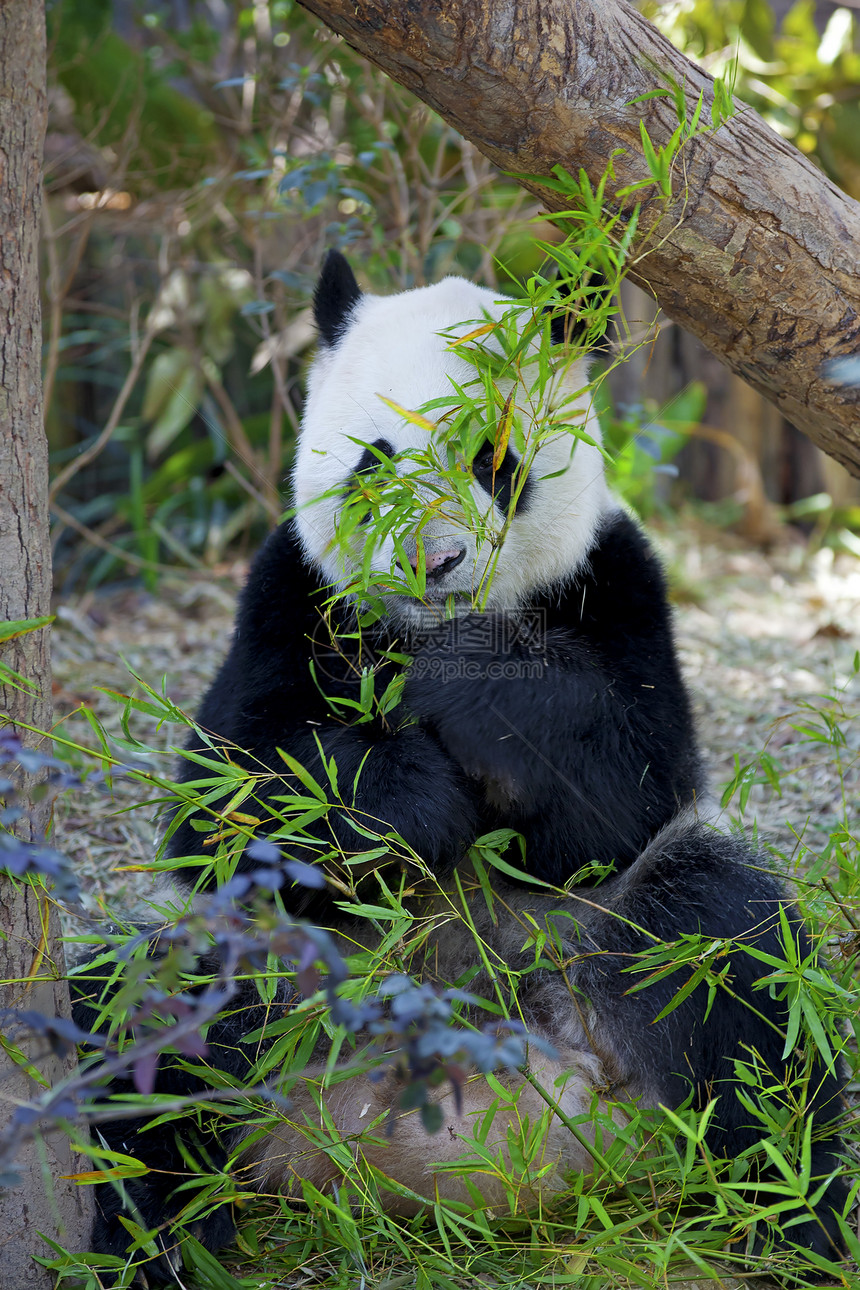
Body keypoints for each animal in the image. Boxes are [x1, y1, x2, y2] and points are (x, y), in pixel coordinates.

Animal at [72, 248, 845, 1279]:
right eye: (373, 462)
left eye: (493, 462)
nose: (431, 564)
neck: (426, 629)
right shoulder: (287, 594)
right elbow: (227, 799)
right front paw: (407, 802)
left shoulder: (618, 579)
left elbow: (627, 789)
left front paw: (464, 689)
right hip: (285, 983)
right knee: (147, 1020)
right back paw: (158, 1233)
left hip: (608, 948)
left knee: (729, 951)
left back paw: (798, 1217)